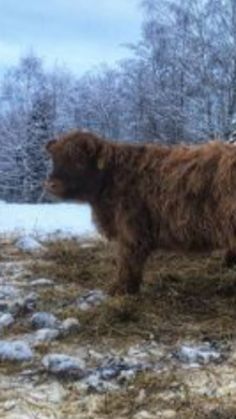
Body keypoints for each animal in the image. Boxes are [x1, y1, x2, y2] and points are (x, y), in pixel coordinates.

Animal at [44, 131, 236, 296]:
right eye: (55, 160)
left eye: (79, 161)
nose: (52, 184)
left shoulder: (132, 230)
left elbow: (128, 262)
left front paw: (120, 290)